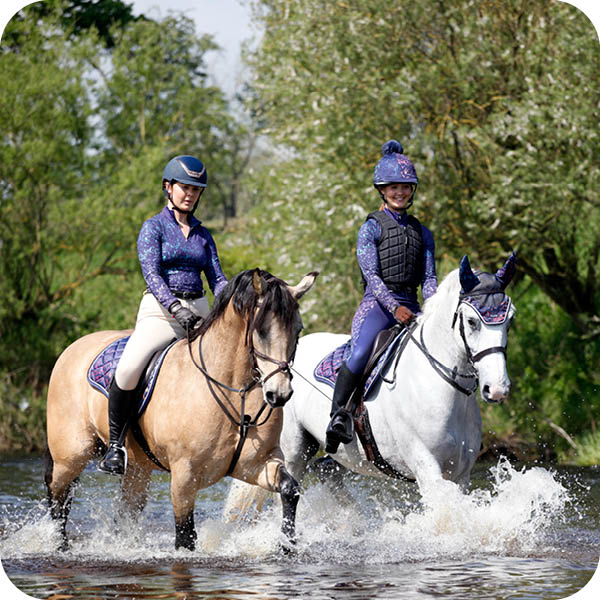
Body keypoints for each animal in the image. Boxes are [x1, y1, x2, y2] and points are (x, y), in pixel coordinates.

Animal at [45, 270, 318, 552]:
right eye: (261, 331)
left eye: (298, 329)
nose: (279, 394)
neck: (235, 390)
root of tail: (72, 348)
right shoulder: (184, 475)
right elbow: (185, 536)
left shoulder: (259, 463)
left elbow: (289, 489)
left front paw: (286, 544)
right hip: (71, 454)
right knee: (58, 494)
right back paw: (59, 545)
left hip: (137, 467)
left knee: (126, 508)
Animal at [225, 253, 516, 520]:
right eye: (472, 321)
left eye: (510, 319)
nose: (497, 389)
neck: (442, 387)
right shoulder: (427, 468)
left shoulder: (461, 473)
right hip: (294, 449)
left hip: (340, 453)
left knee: (325, 470)